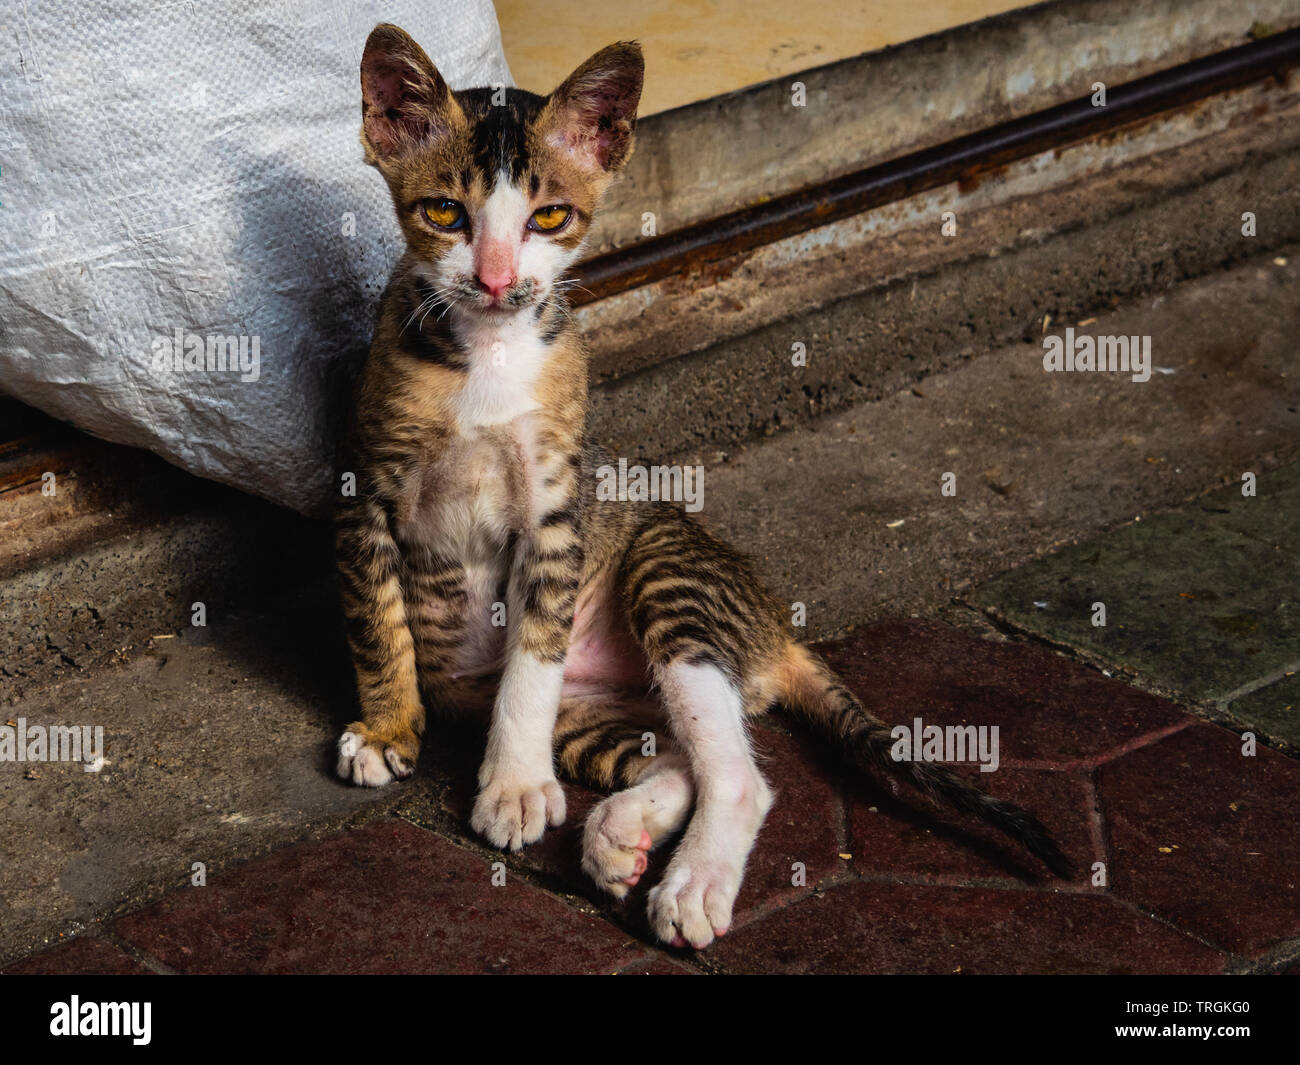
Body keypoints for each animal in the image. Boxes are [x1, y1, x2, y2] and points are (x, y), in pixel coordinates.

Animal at [335, 22, 1066, 951]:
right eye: (444, 214)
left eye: (549, 217)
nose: (498, 281)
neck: (486, 354)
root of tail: (774, 624)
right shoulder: (364, 492)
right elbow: (375, 619)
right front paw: (388, 726)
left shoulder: (557, 517)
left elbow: (530, 660)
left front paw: (512, 784)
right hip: (598, 706)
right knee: (680, 755)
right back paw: (620, 834)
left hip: (667, 570)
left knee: (739, 771)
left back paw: (687, 879)